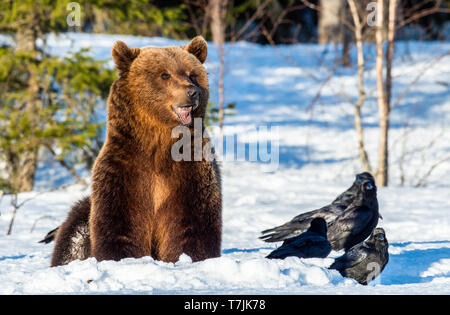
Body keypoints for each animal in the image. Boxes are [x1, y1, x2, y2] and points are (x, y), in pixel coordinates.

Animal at [48, 37, 222, 270]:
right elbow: (121, 226)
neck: (158, 142)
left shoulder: (190, 171)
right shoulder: (124, 171)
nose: (192, 92)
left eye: (192, 74)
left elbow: (192, 225)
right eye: (165, 74)